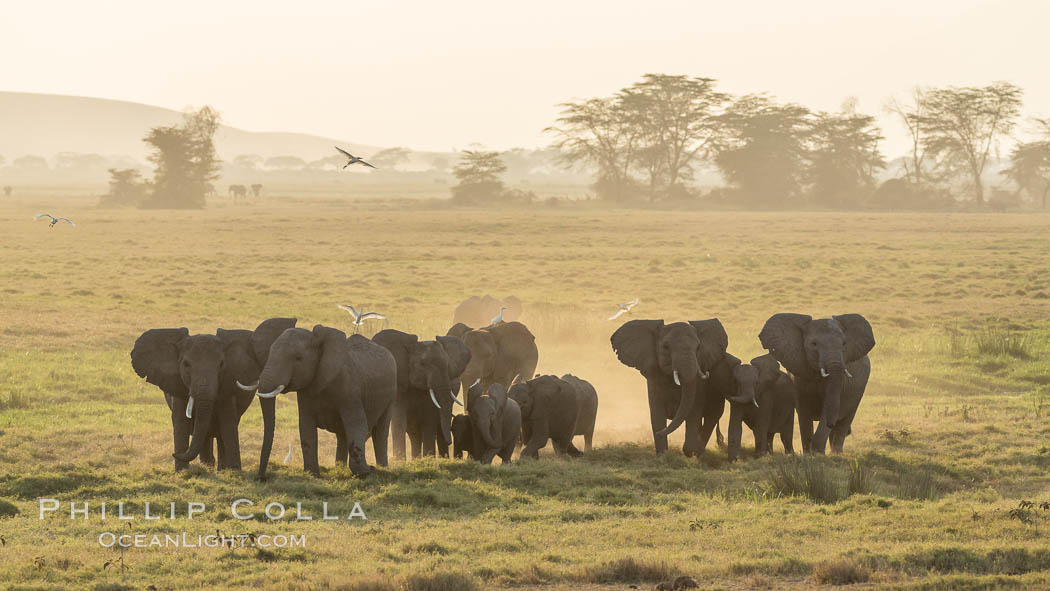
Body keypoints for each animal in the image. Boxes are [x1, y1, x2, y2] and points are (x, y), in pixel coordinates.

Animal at [244, 321, 396, 478]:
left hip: (391, 395)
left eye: (298, 358)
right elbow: (306, 426)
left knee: (380, 432)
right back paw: (339, 468)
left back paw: (383, 468)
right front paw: (313, 475)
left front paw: (368, 471)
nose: (261, 478)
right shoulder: (305, 391)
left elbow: (357, 425)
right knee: (343, 434)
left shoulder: (350, 389)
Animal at [369, 331, 468, 459]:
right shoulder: (399, 385)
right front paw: (400, 460)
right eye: (422, 364)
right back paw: (417, 459)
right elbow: (399, 420)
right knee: (414, 434)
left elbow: (429, 421)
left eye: (447, 365)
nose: (451, 441)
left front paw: (429, 458)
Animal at [609, 319, 730, 457]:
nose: (658, 434)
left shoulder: (699, 379)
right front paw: (662, 455)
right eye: (666, 347)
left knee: (711, 417)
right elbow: (657, 414)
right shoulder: (654, 376)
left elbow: (694, 411)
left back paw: (698, 452)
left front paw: (689, 451)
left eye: (698, 348)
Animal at [760, 314, 873, 453]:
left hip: (859, 392)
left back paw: (837, 453)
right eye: (813, 344)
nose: (831, 423)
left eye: (844, 344)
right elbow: (803, 410)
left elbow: (828, 407)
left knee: (844, 423)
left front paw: (817, 453)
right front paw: (808, 454)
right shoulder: (798, 375)